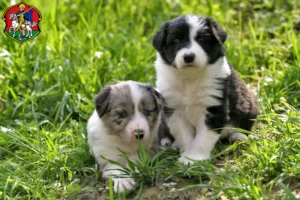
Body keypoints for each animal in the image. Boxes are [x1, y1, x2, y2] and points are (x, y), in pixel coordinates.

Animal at [152, 14, 258, 164]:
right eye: (176, 40)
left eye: (201, 40)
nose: (188, 57)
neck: (190, 78)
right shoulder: (174, 110)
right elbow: (184, 135)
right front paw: (187, 155)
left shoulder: (214, 108)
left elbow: (203, 137)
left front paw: (194, 158)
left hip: (249, 105)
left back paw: (238, 136)